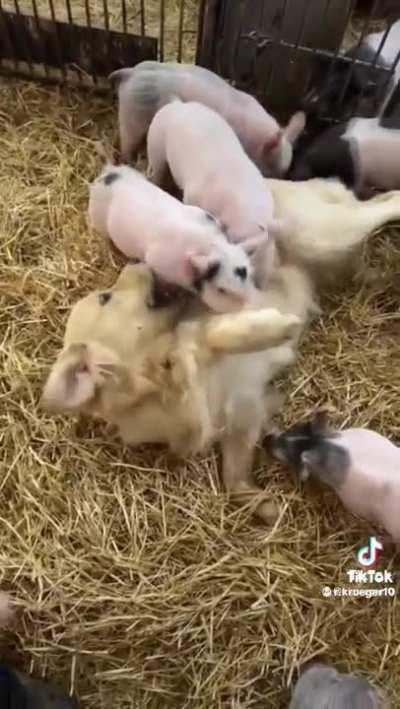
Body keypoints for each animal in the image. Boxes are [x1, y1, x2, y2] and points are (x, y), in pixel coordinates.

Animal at [88, 163, 261, 313]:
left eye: (250, 276)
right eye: (221, 290)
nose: (254, 306)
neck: (211, 246)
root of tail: (107, 175)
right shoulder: (156, 263)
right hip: (98, 220)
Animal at [147, 100, 279, 279]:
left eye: (254, 251)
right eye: (236, 240)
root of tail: (177, 103)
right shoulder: (192, 195)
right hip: (155, 142)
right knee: (156, 168)